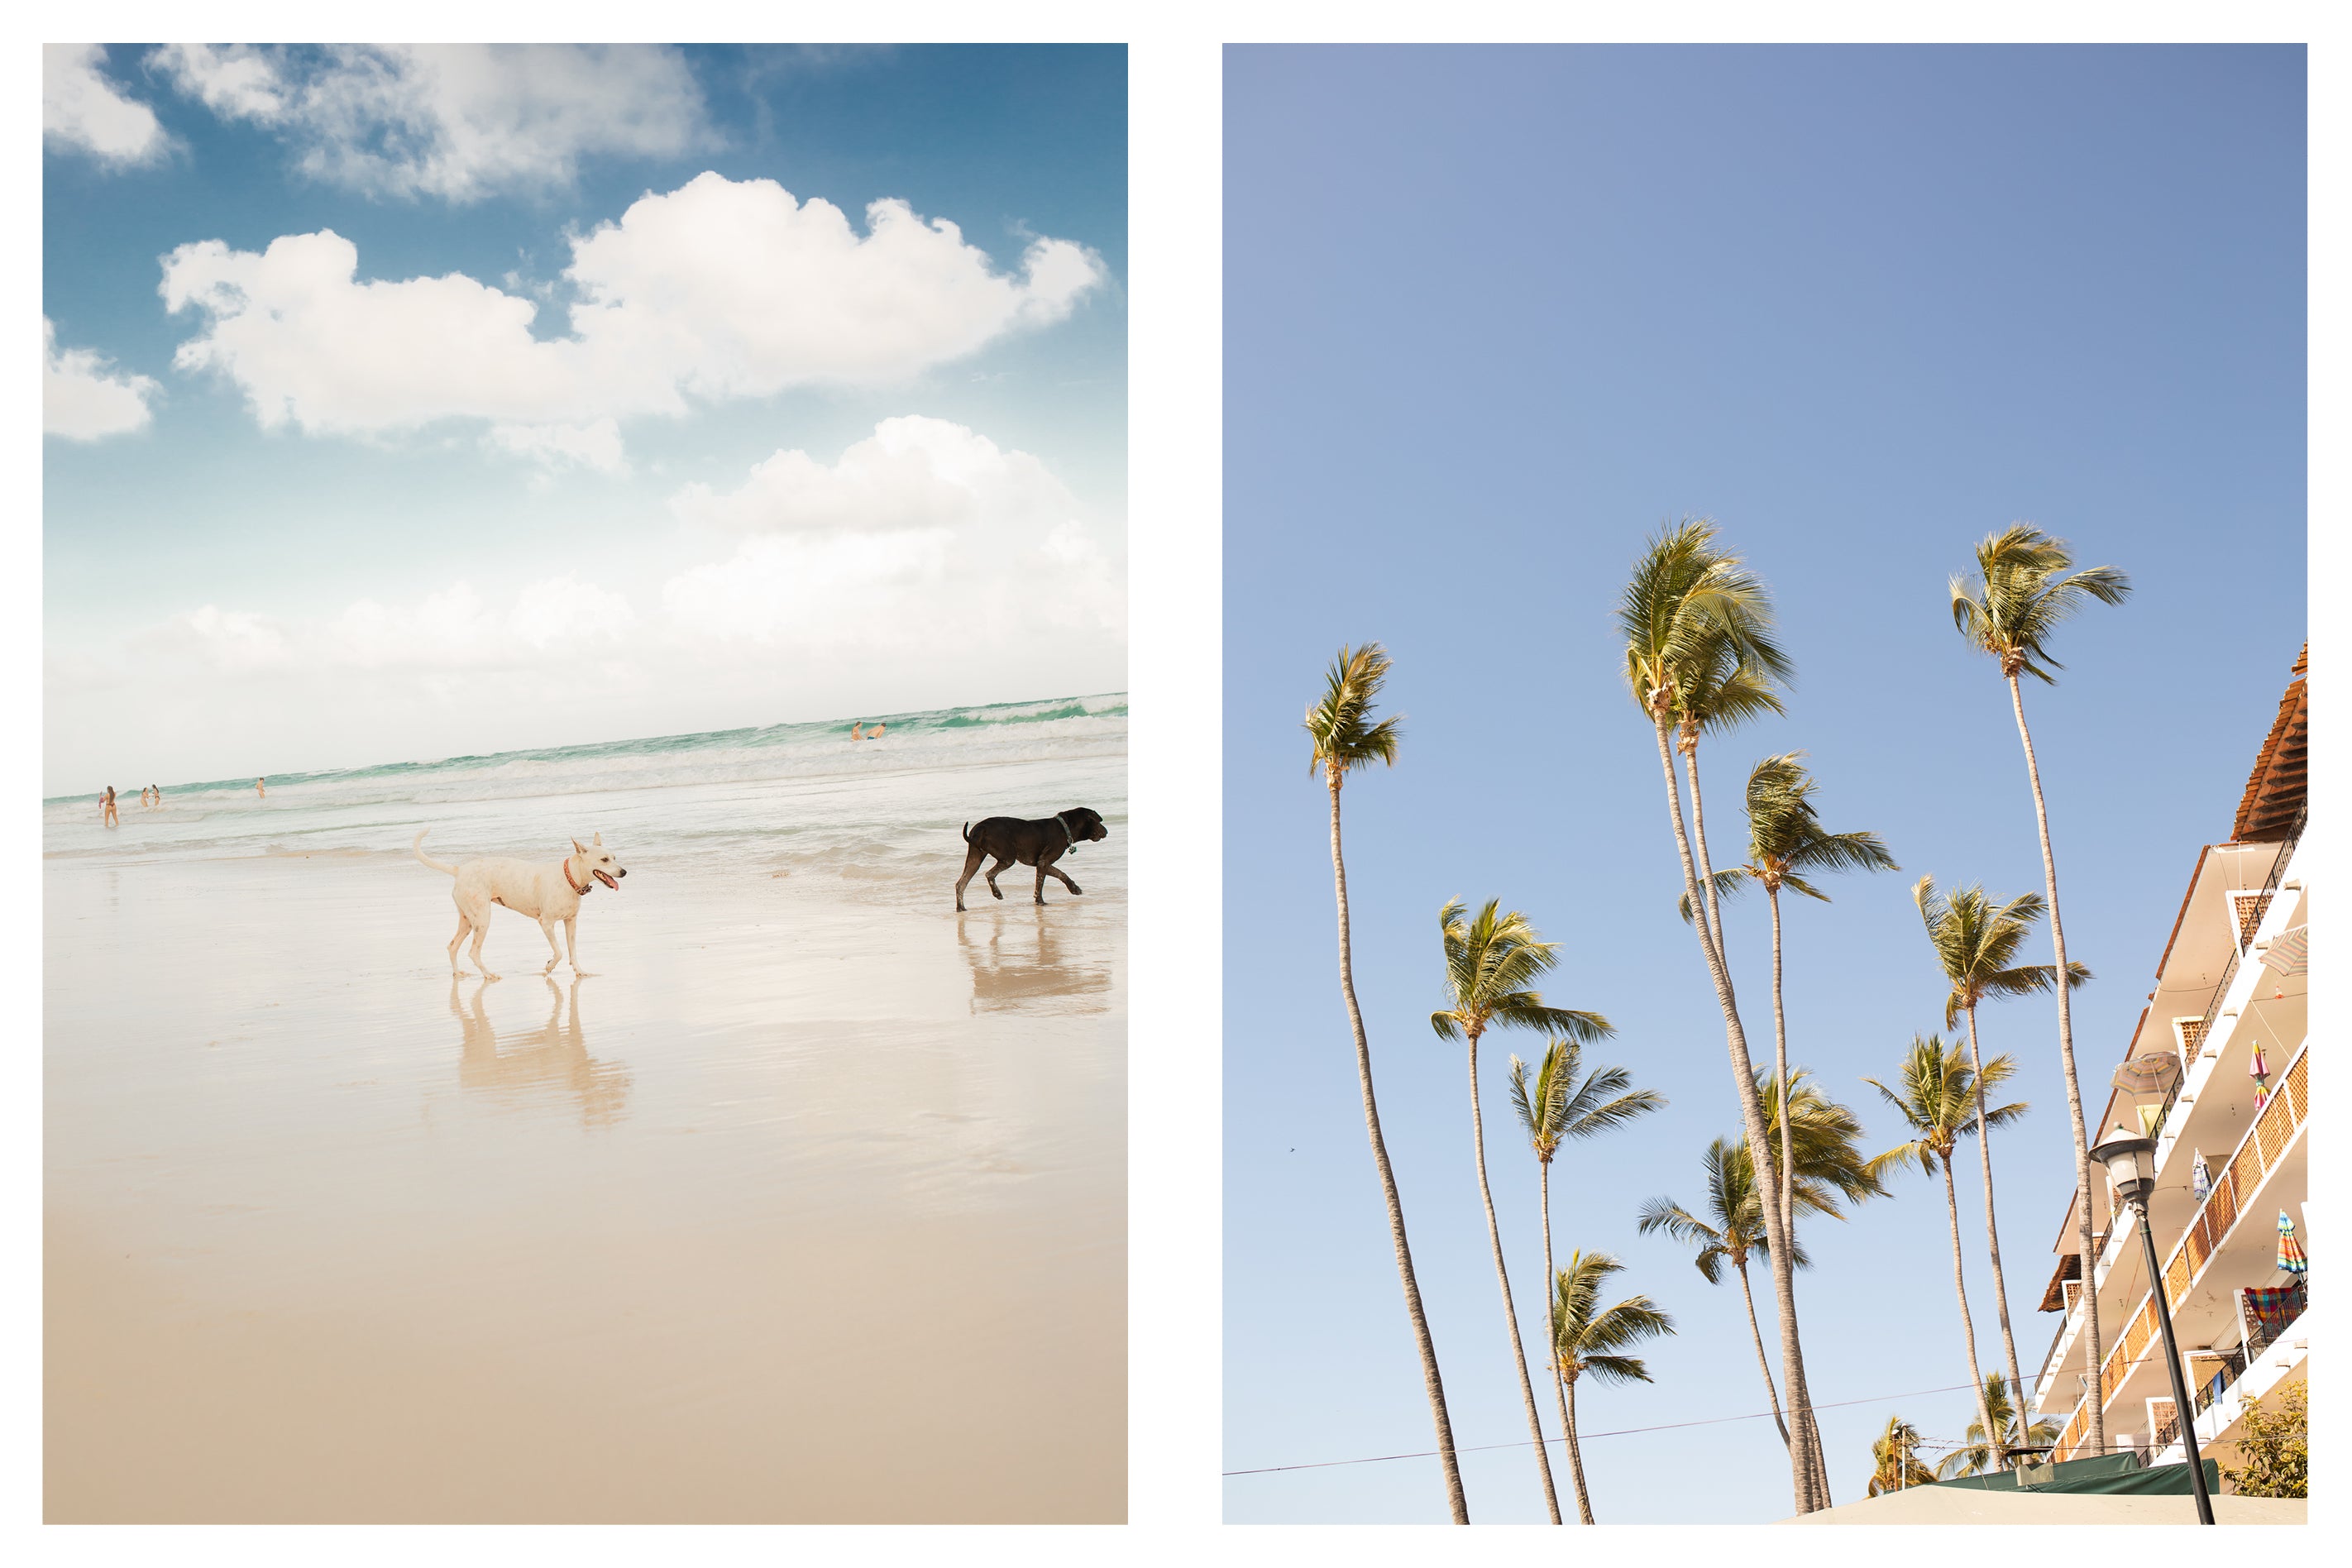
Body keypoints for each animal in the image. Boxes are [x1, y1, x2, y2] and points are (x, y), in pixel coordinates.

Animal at [411, 827, 625, 973]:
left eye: (615, 857)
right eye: (604, 860)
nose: (624, 872)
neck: (569, 877)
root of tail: (460, 870)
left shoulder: (571, 922)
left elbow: (573, 951)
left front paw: (580, 972)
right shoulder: (546, 923)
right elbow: (559, 952)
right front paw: (549, 966)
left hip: (467, 920)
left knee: (452, 946)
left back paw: (459, 974)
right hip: (482, 919)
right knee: (473, 952)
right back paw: (490, 975)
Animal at [949, 808, 1105, 907]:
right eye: (1099, 821)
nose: (1107, 831)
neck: (1064, 827)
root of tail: (981, 828)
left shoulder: (1042, 863)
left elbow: (1062, 874)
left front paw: (1074, 888)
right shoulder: (1043, 862)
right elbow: (1039, 886)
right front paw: (1040, 902)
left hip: (975, 859)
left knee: (961, 884)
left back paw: (961, 908)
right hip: (1007, 858)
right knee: (989, 874)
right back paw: (997, 893)